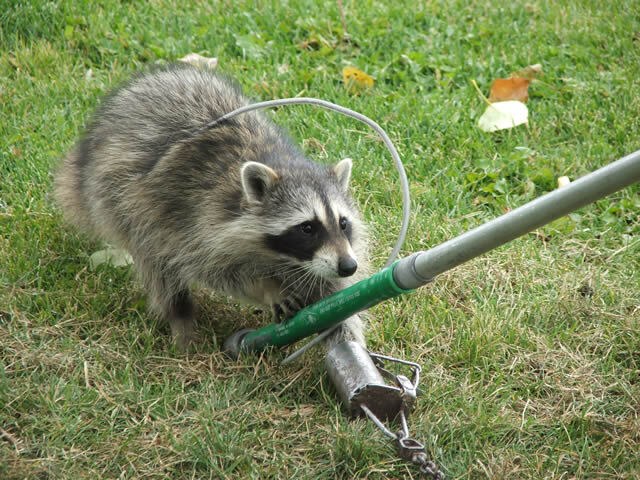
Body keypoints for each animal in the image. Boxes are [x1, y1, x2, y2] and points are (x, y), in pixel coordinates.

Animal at [55, 64, 369, 350]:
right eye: (307, 228)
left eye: (343, 223)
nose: (348, 266)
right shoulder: (197, 222)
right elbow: (219, 272)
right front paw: (266, 288)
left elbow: (333, 296)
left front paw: (346, 332)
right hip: (120, 200)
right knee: (158, 264)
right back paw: (180, 321)